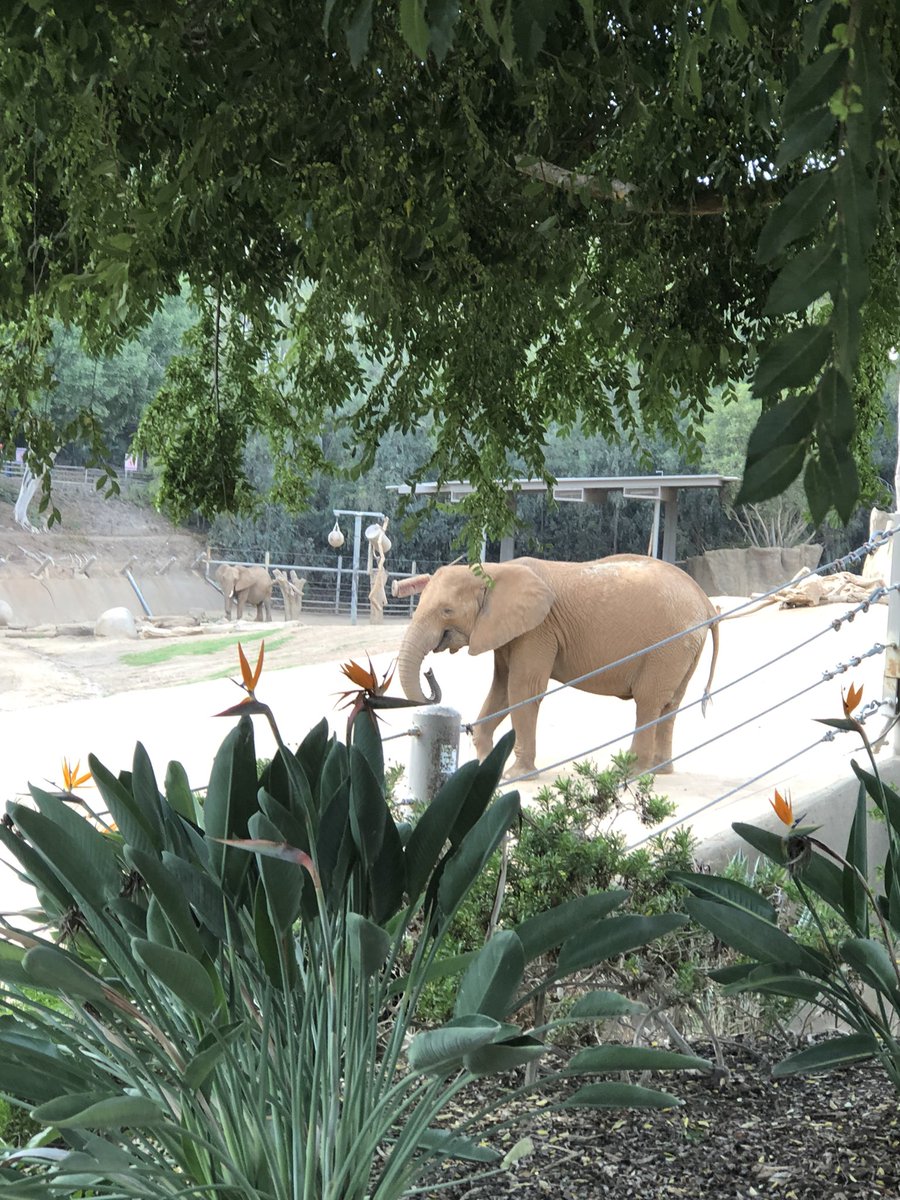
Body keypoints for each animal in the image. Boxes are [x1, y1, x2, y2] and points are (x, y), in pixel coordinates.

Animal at [396, 555, 720, 778]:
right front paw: (485, 769)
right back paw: (660, 770)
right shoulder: (507, 632)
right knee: (670, 703)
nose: (430, 674)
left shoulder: (538, 630)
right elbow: (500, 690)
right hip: (683, 646)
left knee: (649, 701)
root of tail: (705, 602)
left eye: (446, 610)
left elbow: (522, 690)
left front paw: (516, 776)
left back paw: (631, 772)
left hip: (668, 646)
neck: (493, 570)